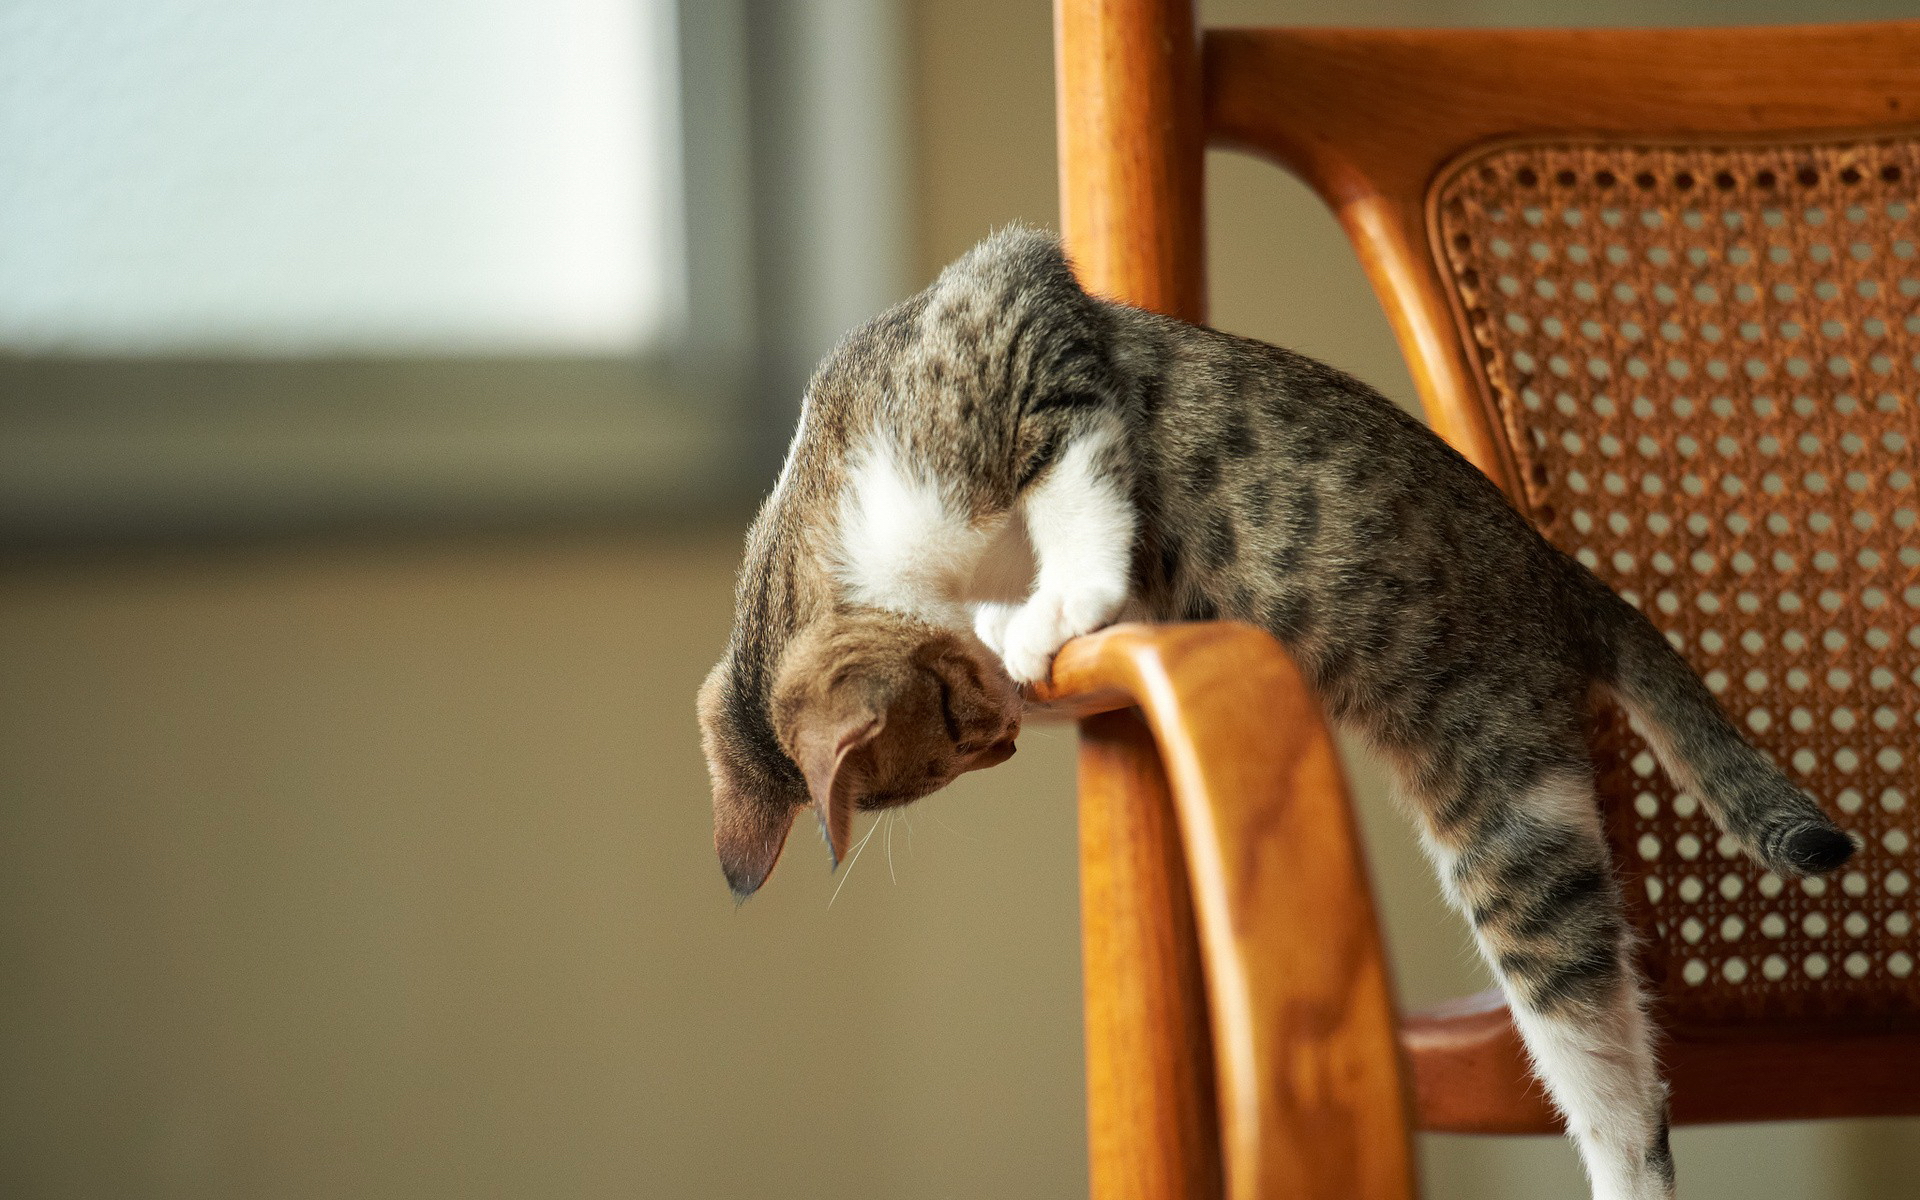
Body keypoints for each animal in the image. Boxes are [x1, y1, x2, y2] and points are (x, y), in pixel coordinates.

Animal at [698, 226, 1850, 1198]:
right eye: (950, 749)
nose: (1009, 733)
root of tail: (1558, 576)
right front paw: (1017, 621)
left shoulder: (1019, 313)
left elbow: (1079, 486)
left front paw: (1063, 606)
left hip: (1514, 823)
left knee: (1621, 1093)